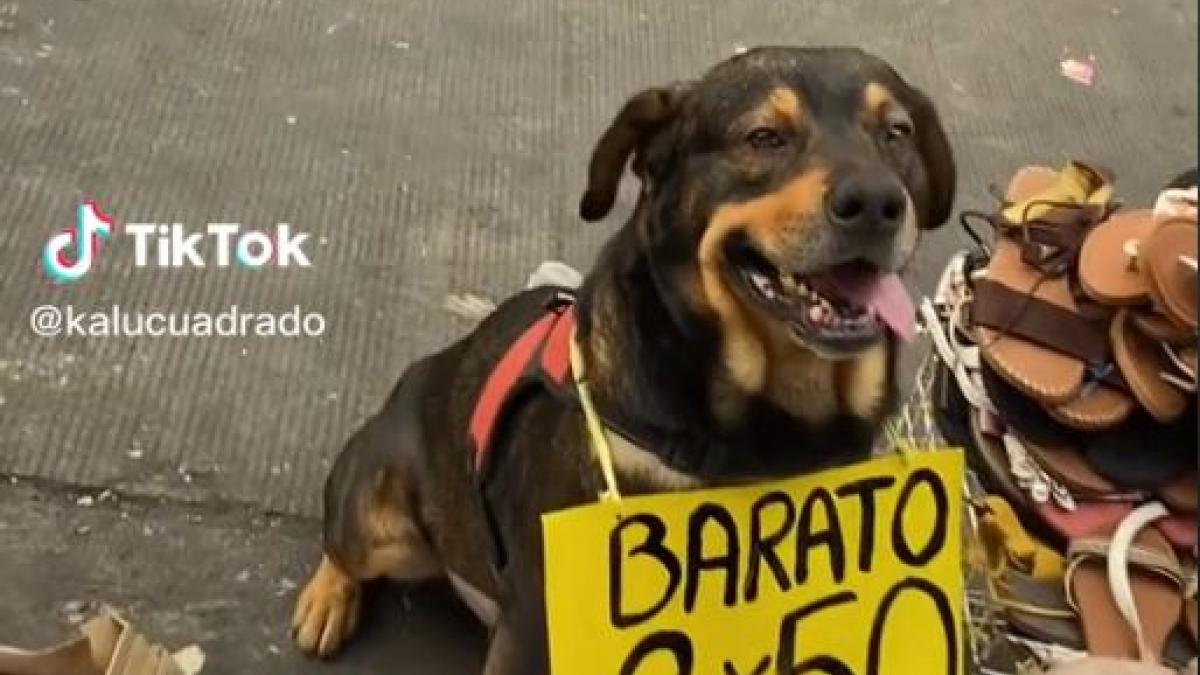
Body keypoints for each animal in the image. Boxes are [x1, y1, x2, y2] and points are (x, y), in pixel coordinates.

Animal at [290, 44, 955, 667]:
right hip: (382, 518)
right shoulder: (535, 632)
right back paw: (327, 598)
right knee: (342, 544)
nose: (876, 203)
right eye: (764, 137)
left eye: (897, 132)